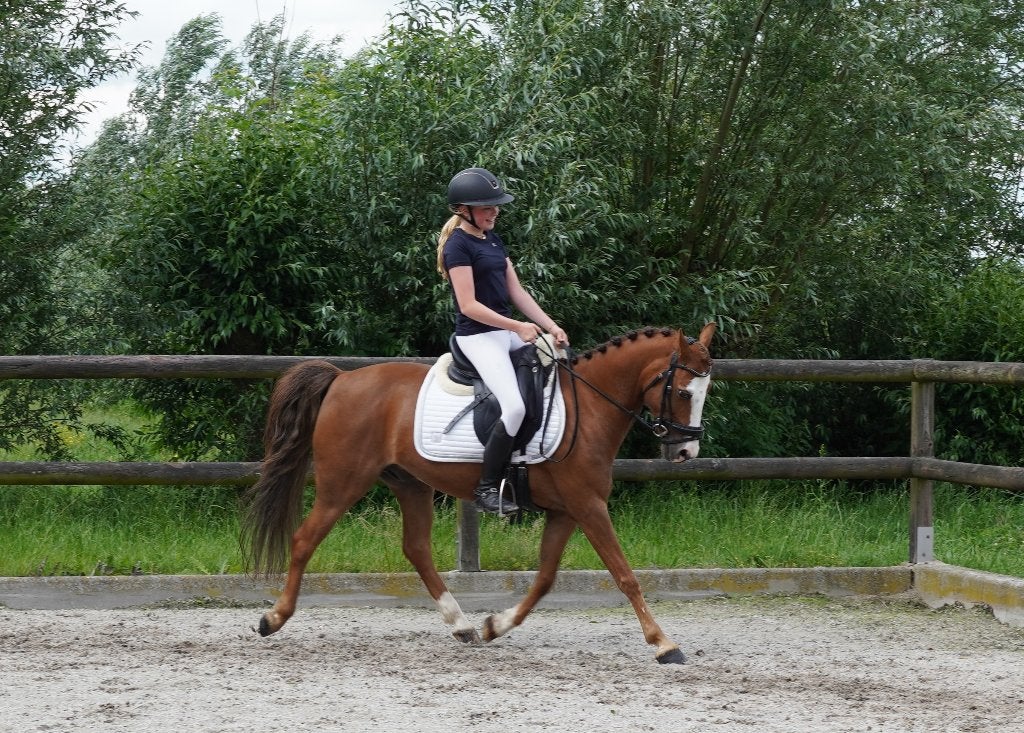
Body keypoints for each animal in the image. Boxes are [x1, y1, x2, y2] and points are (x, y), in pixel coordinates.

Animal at [241, 323, 716, 664]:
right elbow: (625, 575)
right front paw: (664, 644)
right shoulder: (588, 506)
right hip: (343, 484)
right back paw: (272, 618)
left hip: (409, 483)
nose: (686, 451)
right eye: (682, 390)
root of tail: (341, 379)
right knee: (305, 539)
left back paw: (462, 625)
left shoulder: (566, 511)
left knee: (416, 548)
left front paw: (494, 626)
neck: (591, 407)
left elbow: (544, 579)